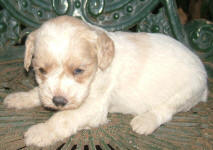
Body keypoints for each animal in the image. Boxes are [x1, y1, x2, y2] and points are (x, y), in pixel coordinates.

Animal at [3, 15, 208, 147]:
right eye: (41, 70)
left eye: (79, 70)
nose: (59, 102)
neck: (96, 71)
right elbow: (38, 92)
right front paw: (20, 98)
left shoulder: (93, 107)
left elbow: (63, 118)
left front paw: (41, 131)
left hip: (187, 91)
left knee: (165, 110)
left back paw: (145, 121)